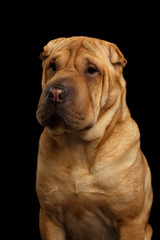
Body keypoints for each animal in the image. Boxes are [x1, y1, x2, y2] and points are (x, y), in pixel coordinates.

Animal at [36, 36, 152, 240]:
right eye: (52, 66)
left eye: (91, 70)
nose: (55, 93)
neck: (77, 147)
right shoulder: (50, 216)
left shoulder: (131, 221)